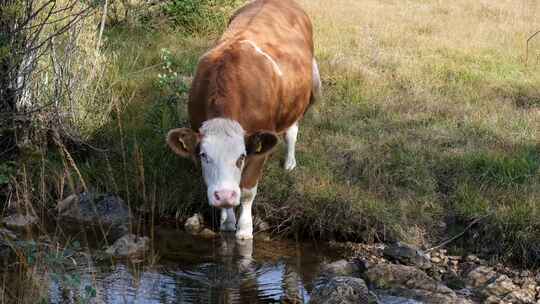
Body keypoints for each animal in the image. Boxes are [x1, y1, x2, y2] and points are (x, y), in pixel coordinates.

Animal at [168, 0, 320, 240]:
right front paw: (228, 221)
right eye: (204, 156)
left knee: (291, 132)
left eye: (241, 156)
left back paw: (289, 163)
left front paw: (245, 229)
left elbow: (247, 191)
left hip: (298, 101)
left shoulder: (259, 144)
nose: (224, 195)